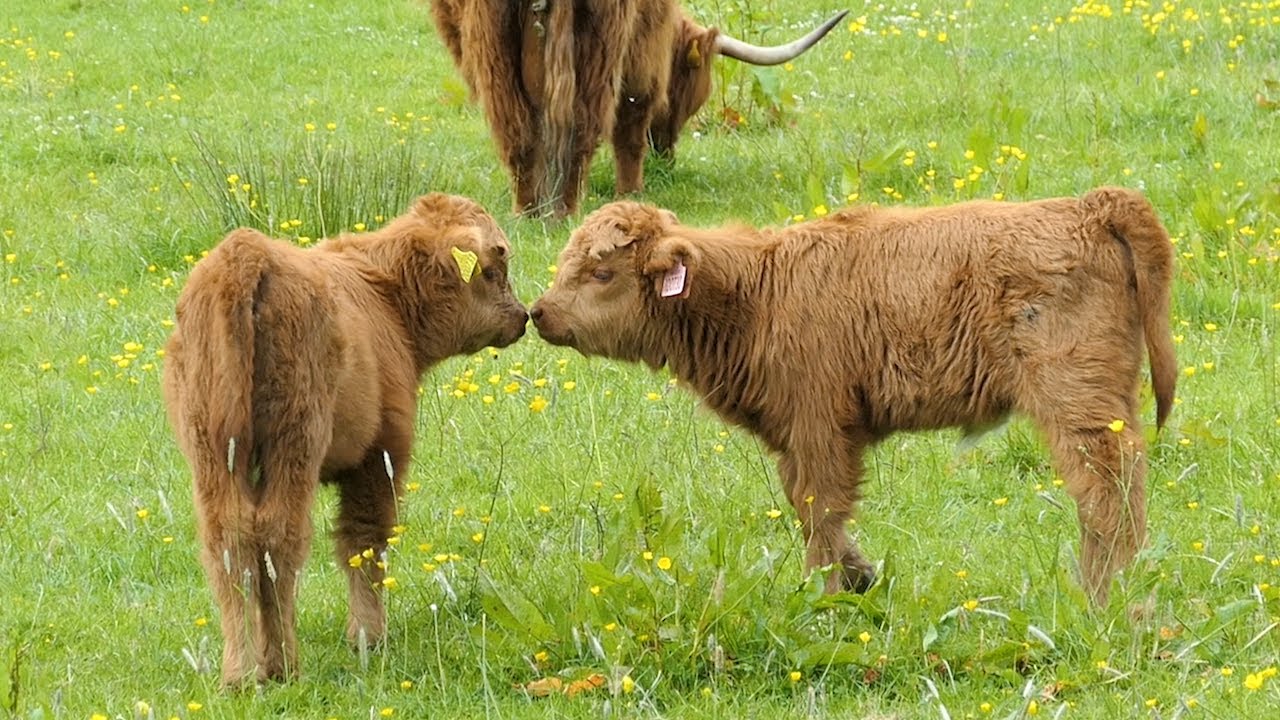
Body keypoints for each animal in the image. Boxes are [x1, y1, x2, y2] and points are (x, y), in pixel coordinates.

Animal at [162, 194, 528, 686]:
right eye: (493, 268)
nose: (522, 317)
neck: (386, 296)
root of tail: (245, 254)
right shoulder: (380, 454)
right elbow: (365, 540)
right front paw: (369, 636)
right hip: (296, 443)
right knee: (279, 538)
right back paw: (282, 666)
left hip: (214, 453)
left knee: (230, 543)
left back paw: (241, 672)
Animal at [430, 0, 848, 216]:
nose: (668, 155)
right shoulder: (644, 42)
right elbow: (632, 119)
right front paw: (632, 193)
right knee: (583, 128)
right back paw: (567, 210)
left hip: (494, 48)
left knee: (516, 132)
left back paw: (529, 211)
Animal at [530, 188, 1176, 605]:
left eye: (602, 273)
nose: (539, 313)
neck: (756, 294)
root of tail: (1086, 206)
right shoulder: (795, 436)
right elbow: (806, 506)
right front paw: (860, 576)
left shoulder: (820, 426)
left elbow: (820, 510)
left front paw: (824, 597)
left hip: (1075, 400)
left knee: (1105, 489)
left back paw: (1104, 596)